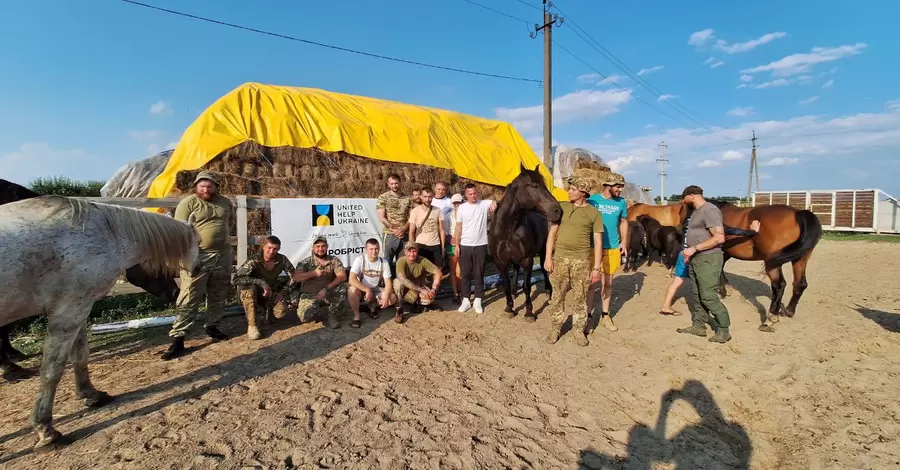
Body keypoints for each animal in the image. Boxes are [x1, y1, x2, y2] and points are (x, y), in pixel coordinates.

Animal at [486, 163, 564, 322]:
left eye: (545, 185)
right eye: (534, 185)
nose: (558, 211)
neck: (508, 229)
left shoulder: (528, 260)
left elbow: (527, 286)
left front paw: (529, 312)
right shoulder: (500, 262)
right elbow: (506, 285)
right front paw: (509, 308)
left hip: (542, 251)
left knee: (544, 269)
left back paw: (548, 291)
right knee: (516, 270)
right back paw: (515, 292)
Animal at [708, 200, 828, 332]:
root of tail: (797, 213)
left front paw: (724, 290)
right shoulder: (726, 252)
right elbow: (720, 266)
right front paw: (726, 289)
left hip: (773, 263)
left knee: (779, 285)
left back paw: (770, 319)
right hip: (800, 259)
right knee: (800, 284)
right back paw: (789, 311)